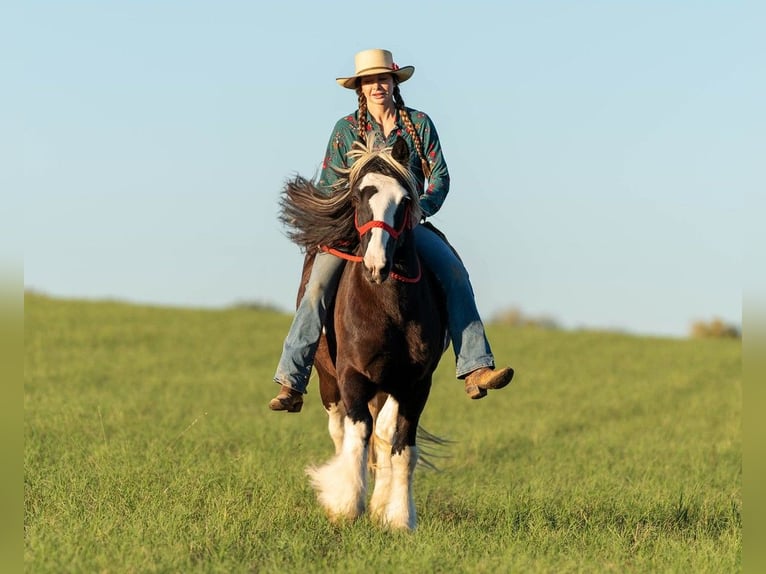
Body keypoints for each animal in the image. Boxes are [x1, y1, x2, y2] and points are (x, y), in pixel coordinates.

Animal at [280, 135, 450, 532]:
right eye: (359, 197)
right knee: (341, 432)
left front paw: (399, 518)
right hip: (329, 383)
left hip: (389, 387)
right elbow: (357, 436)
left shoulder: (416, 384)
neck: (387, 307)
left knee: (384, 434)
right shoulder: (352, 376)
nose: (376, 266)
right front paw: (345, 507)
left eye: (405, 200)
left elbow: (402, 446)